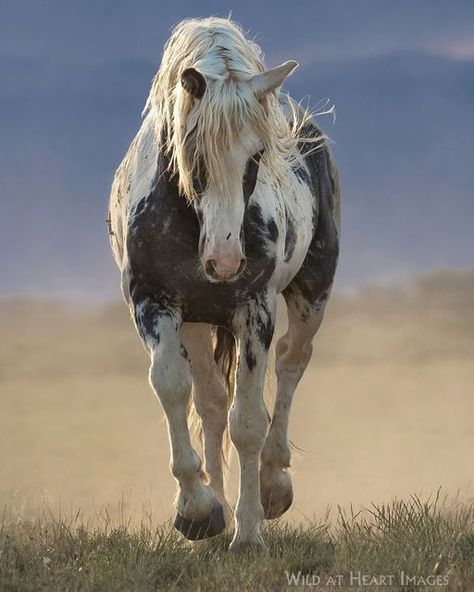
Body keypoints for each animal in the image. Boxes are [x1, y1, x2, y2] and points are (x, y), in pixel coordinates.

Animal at [109, 19, 338, 556]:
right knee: (211, 402)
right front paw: (197, 512)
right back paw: (215, 502)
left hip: (312, 291)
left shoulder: (254, 310)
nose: (225, 259)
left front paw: (248, 531)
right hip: (195, 321)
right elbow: (174, 387)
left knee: (292, 364)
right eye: (194, 150)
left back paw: (274, 484)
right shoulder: (154, 303)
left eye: (257, 154)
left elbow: (249, 421)